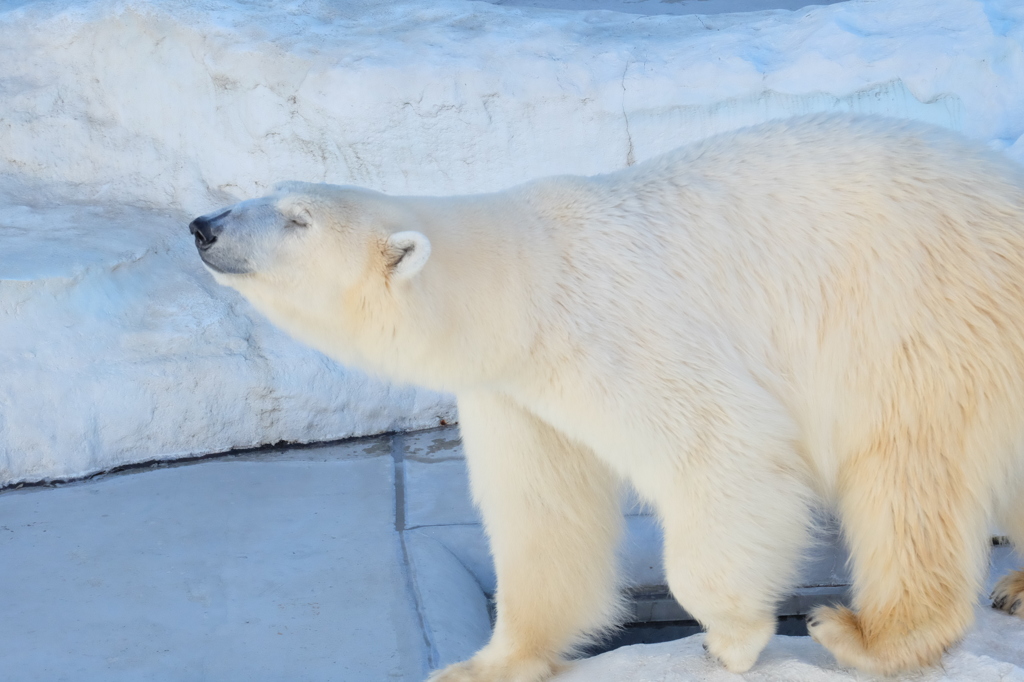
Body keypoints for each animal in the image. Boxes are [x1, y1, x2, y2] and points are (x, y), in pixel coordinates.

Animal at [193, 114, 1024, 675]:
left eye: (296, 217)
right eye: (268, 192)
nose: (203, 224)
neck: (524, 284)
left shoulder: (612, 325)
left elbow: (723, 446)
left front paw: (732, 638)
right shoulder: (516, 395)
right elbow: (542, 517)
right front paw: (485, 663)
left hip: (923, 319)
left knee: (908, 474)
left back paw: (866, 633)